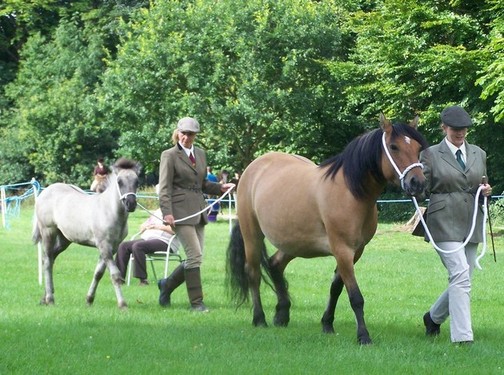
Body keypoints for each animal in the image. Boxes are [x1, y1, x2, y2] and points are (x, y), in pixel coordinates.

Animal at [33, 159, 140, 308]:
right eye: (119, 181)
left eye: (137, 181)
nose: (131, 203)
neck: (109, 211)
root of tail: (45, 192)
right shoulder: (104, 246)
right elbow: (115, 275)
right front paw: (122, 304)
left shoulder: (112, 248)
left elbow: (98, 273)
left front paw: (89, 299)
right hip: (48, 232)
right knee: (48, 261)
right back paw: (50, 299)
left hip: (64, 240)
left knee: (49, 258)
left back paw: (45, 297)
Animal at [226, 115, 428, 346]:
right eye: (394, 147)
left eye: (418, 147)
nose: (418, 183)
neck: (350, 192)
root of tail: (253, 167)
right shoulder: (342, 250)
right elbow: (355, 296)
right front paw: (363, 335)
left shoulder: (355, 252)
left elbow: (336, 288)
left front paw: (327, 324)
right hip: (252, 234)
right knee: (254, 273)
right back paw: (259, 319)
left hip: (293, 242)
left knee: (275, 264)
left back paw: (282, 314)